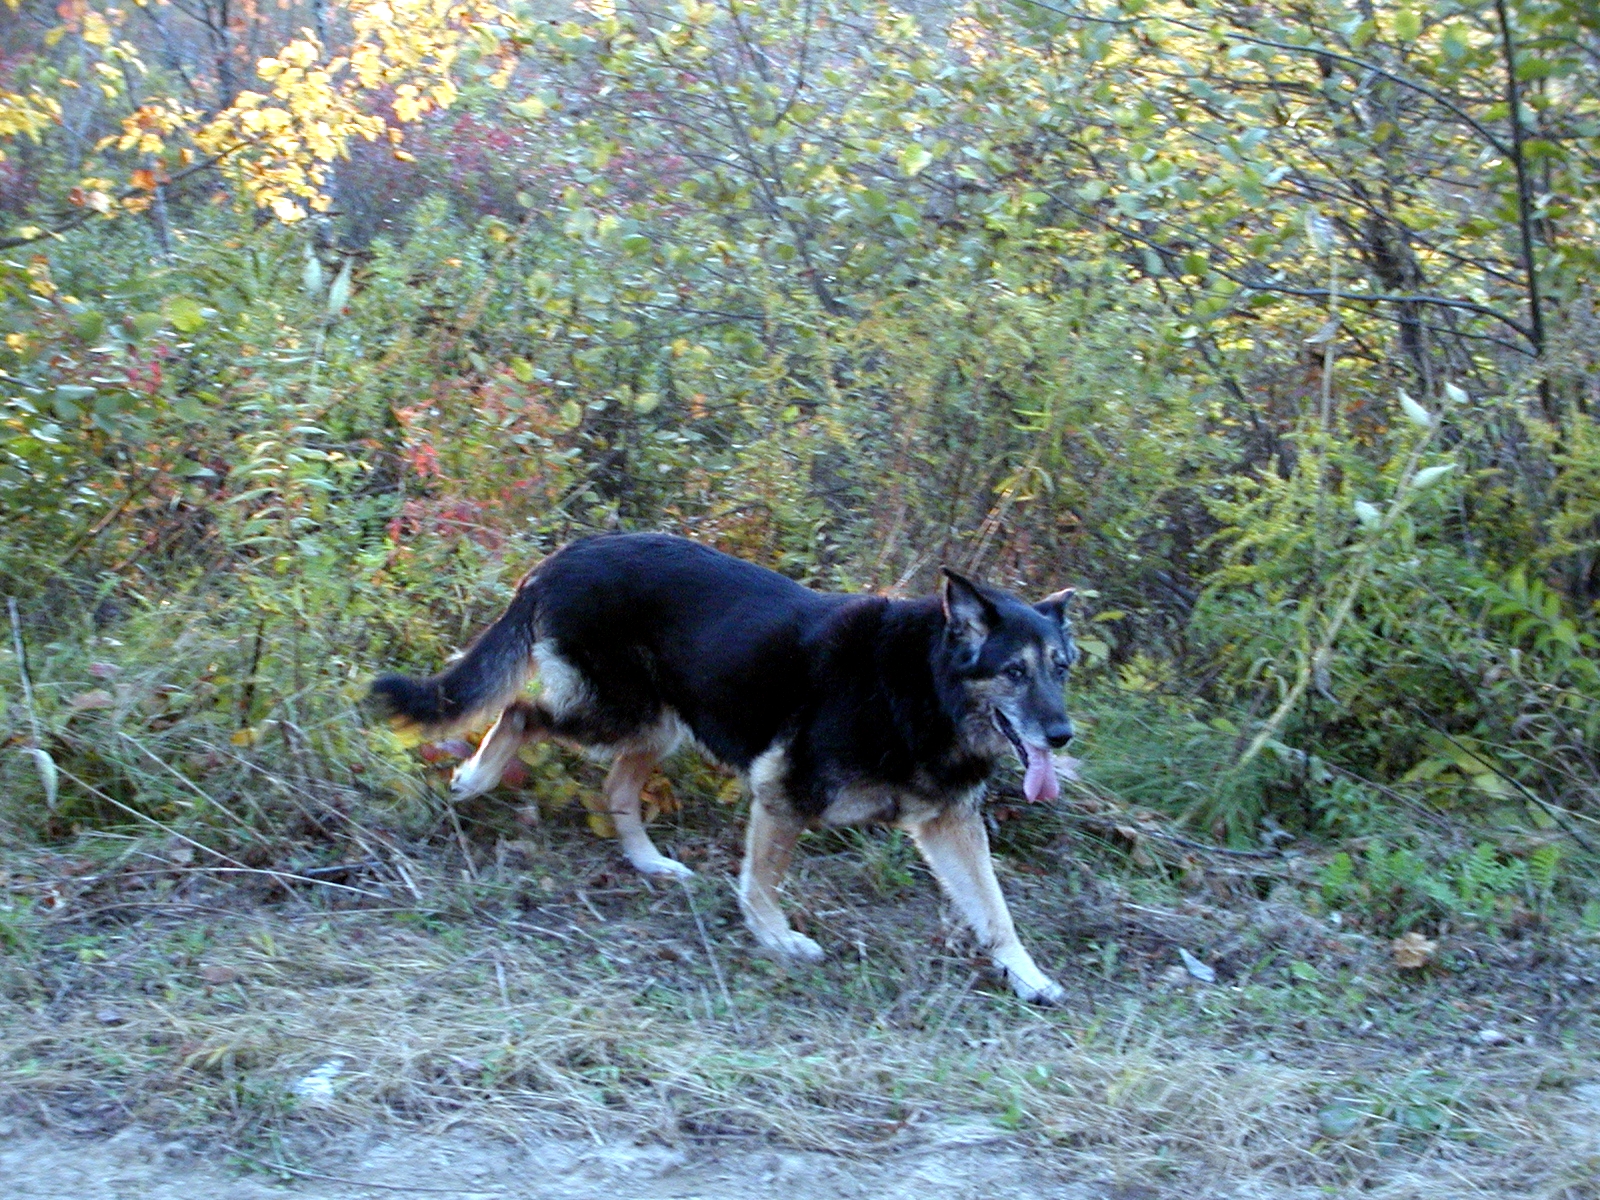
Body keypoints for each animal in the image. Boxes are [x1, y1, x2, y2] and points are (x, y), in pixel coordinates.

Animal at [369, 533, 1078, 1003]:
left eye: (1061, 669)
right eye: (1014, 672)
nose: (1062, 734)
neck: (926, 687)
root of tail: (557, 559)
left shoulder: (949, 826)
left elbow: (995, 912)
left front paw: (1028, 975)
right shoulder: (784, 793)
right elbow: (761, 883)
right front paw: (777, 940)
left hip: (659, 723)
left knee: (616, 784)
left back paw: (650, 863)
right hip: (622, 715)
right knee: (520, 711)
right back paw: (476, 777)